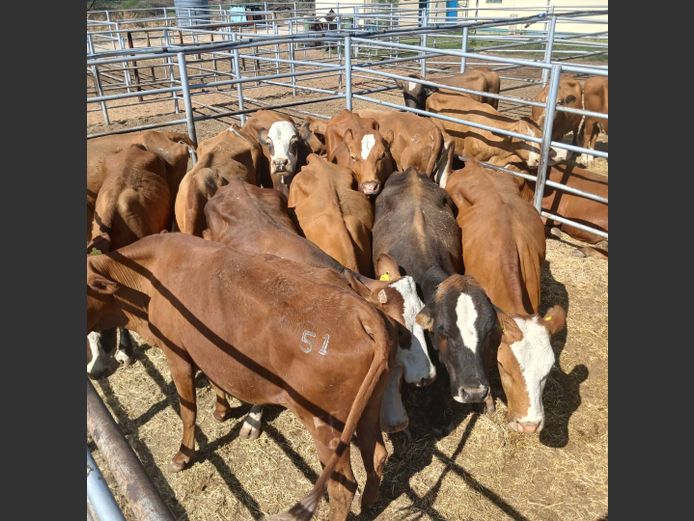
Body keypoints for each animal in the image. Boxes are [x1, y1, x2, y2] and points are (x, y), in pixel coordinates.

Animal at [87, 232, 396, 520]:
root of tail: (361, 310)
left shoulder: (177, 355)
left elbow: (187, 410)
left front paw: (183, 455)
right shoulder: (208, 349)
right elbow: (215, 378)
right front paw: (222, 410)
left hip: (325, 424)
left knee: (343, 486)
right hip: (369, 407)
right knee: (377, 454)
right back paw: (369, 503)